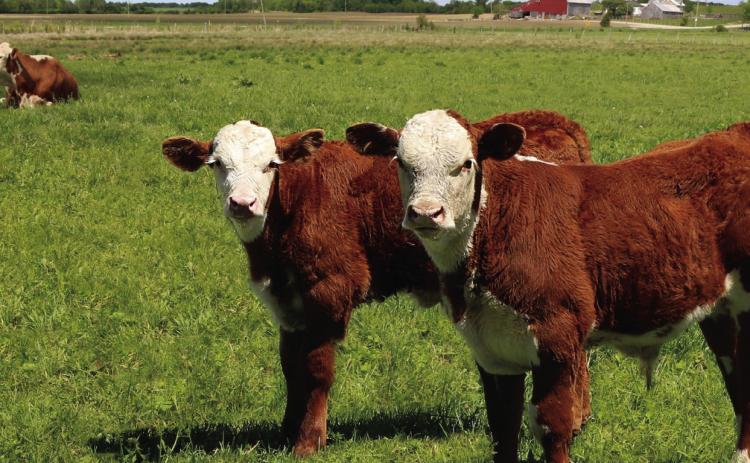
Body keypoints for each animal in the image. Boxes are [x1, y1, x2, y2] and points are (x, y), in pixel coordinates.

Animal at [161, 110, 592, 457]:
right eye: (217, 164)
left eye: (270, 164)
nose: (242, 203)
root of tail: (551, 120)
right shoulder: (287, 302)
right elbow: (290, 366)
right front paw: (286, 430)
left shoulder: (328, 290)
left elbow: (316, 369)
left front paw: (308, 440)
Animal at [347, 109, 750, 463]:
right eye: (401, 162)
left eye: (466, 164)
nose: (426, 213)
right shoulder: (491, 352)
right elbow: (503, 429)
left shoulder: (557, 338)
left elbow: (552, 426)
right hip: (720, 311)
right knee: (738, 381)